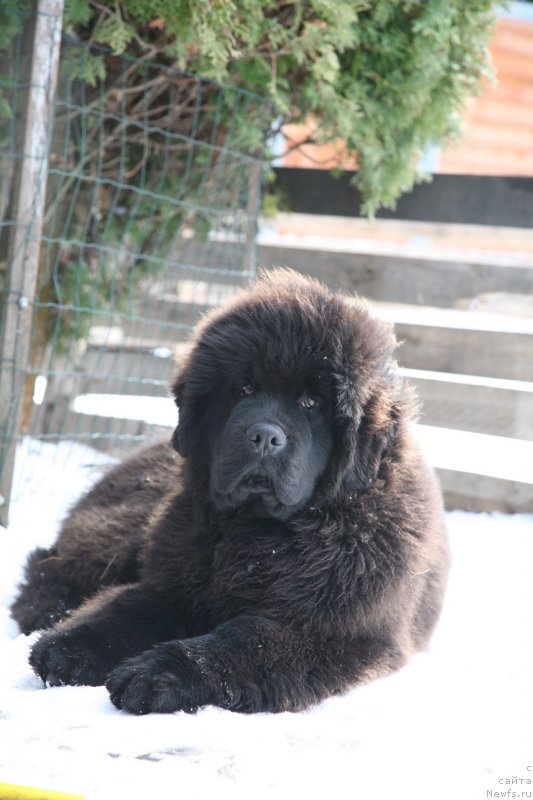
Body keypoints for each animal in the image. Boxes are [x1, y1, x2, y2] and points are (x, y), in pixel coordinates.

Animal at [11, 268, 448, 712]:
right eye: (245, 389)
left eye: (311, 402)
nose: (265, 436)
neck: (256, 534)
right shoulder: (173, 581)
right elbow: (129, 606)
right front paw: (70, 647)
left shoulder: (337, 633)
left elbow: (246, 637)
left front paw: (157, 674)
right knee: (47, 564)